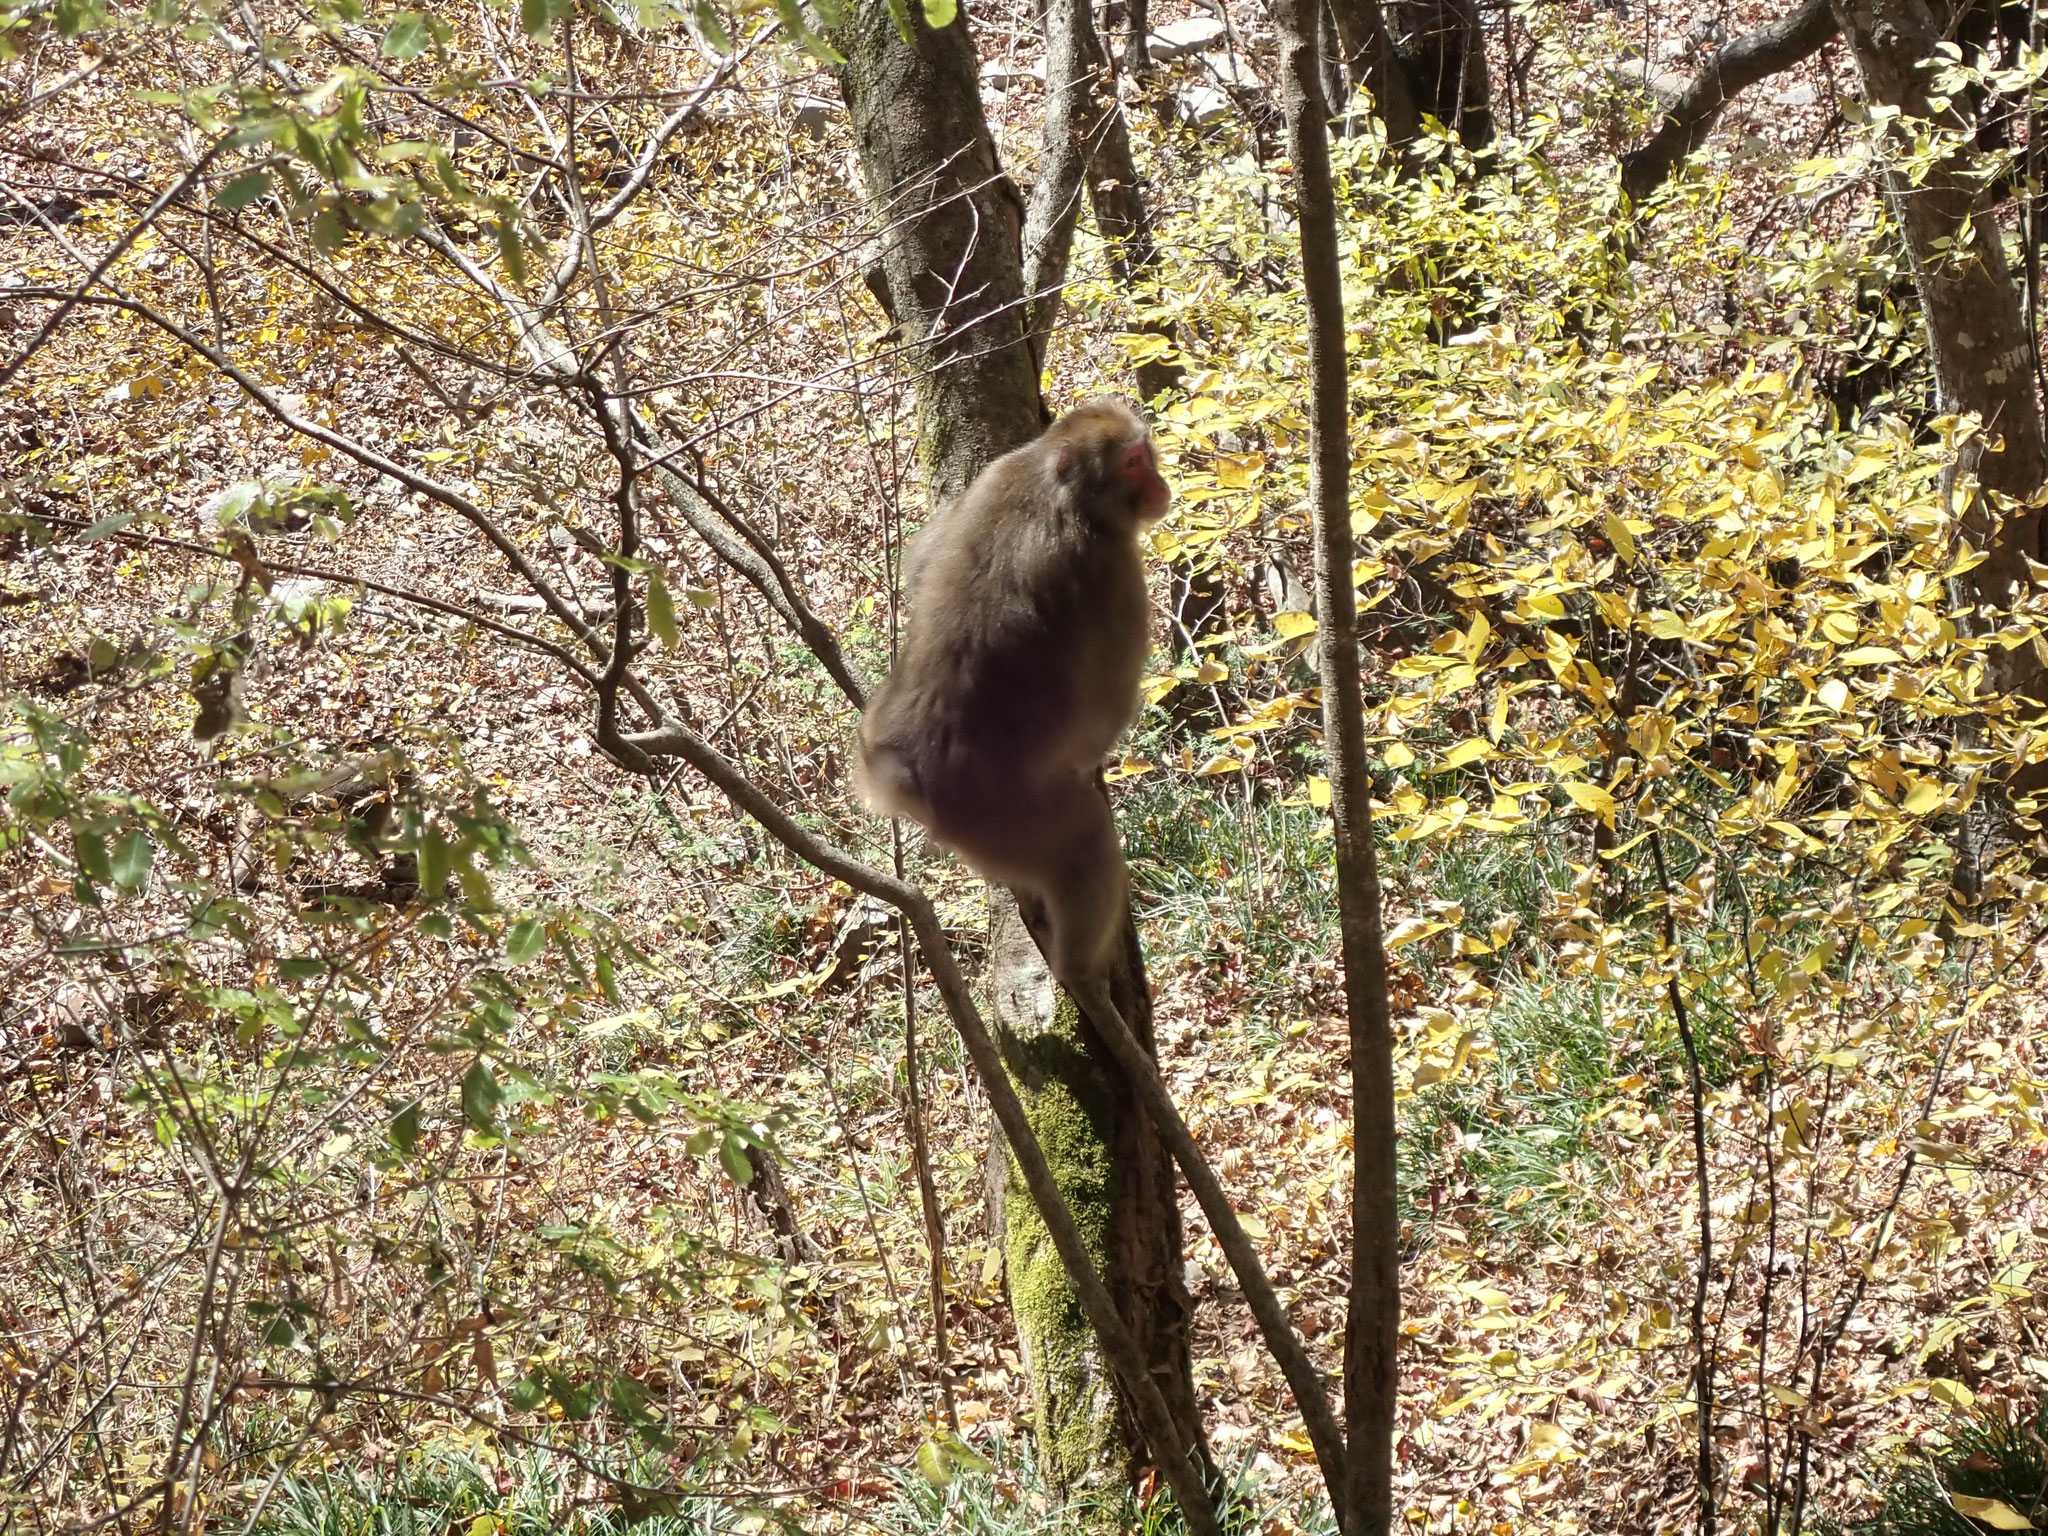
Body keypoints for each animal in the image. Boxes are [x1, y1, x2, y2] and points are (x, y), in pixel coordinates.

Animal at [851, 397, 1171, 991]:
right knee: (1084, 839)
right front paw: (1091, 755)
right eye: (1134, 462)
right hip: (1003, 817)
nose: (1160, 483)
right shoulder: (1113, 570)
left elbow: (920, 563)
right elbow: (1107, 704)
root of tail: (900, 771)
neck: (1055, 490)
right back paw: (1081, 971)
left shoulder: (993, 474)